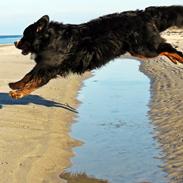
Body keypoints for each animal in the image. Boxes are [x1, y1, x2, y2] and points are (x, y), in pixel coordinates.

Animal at [9, 5, 183, 98]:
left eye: (24, 36)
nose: (15, 42)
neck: (48, 39)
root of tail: (143, 13)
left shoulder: (49, 66)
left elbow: (35, 81)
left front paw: (19, 93)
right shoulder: (43, 64)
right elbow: (28, 76)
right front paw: (16, 84)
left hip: (143, 48)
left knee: (167, 48)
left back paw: (179, 58)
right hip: (139, 49)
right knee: (165, 49)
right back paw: (175, 59)